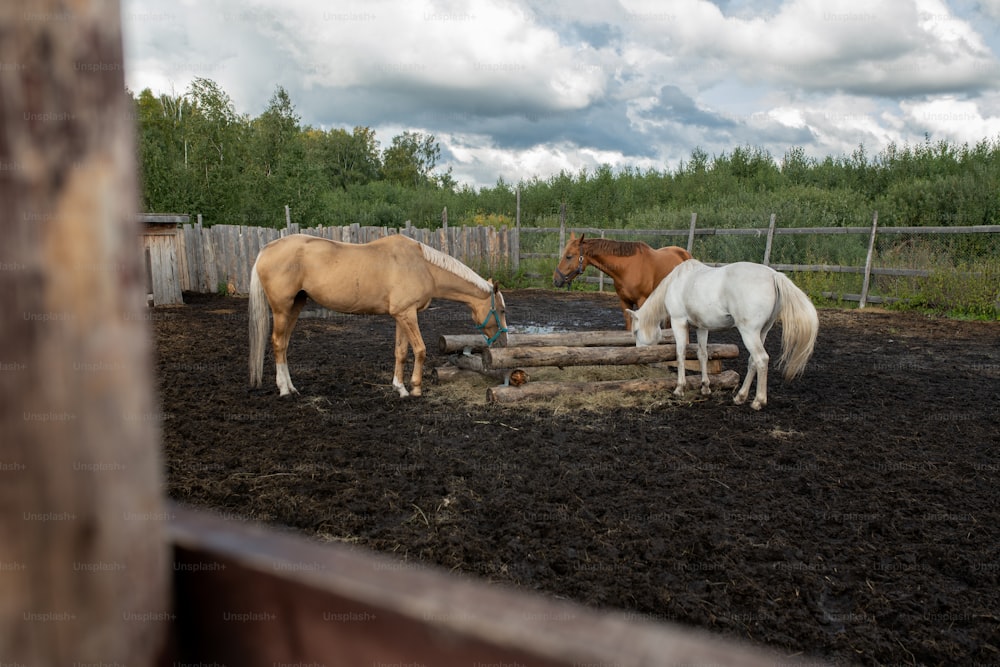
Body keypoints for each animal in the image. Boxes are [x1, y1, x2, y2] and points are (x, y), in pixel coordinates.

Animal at [250, 235, 508, 396]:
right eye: (502, 310)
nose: (504, 341)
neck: (423, 265)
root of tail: (265, 250)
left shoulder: (401, 315)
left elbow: (401, 352)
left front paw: (399, 388)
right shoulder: (408, 315)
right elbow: (420, 350)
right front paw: (415, 388)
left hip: (295, 306)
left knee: (284, 344)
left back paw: (291, 387)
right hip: (282, 309)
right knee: (278, 343)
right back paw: (284, 390)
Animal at [552, 234, 692, 330]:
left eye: (569, 256)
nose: (556, 279)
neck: (627, 268)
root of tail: (685, 254)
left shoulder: (642, 301)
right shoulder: (625, 302)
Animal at [628, 258, 816, 410]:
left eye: (636, 331)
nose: (638, 358)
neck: (677, 281)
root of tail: (773, 275)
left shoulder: (678, 321)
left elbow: (680, 354)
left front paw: (679, 388)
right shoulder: (701, 327)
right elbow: (702, 354)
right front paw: (705, 387)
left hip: (749, 333)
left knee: (761, 359)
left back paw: (758, 401)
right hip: (762, 332)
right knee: (753, 361)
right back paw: (740, 397)